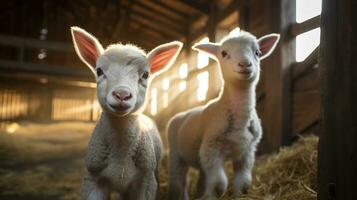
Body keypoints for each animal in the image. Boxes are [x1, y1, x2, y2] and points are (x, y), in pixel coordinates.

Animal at [70, 27, 182, 200]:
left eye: (145, 75)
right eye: (99, 71)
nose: (122, 95)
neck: (120, 155)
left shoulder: (146, 181)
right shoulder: (93, 179)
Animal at [166, 30, 278, 199]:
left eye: (258, 53)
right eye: (224, 53)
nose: (245, 64)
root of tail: (181, 114)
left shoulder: (247, 151)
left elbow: (243, 183)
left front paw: (238, 195)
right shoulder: (211, 148)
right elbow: (220, 183)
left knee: (201, 180)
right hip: (176, 155)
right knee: (179, 182)